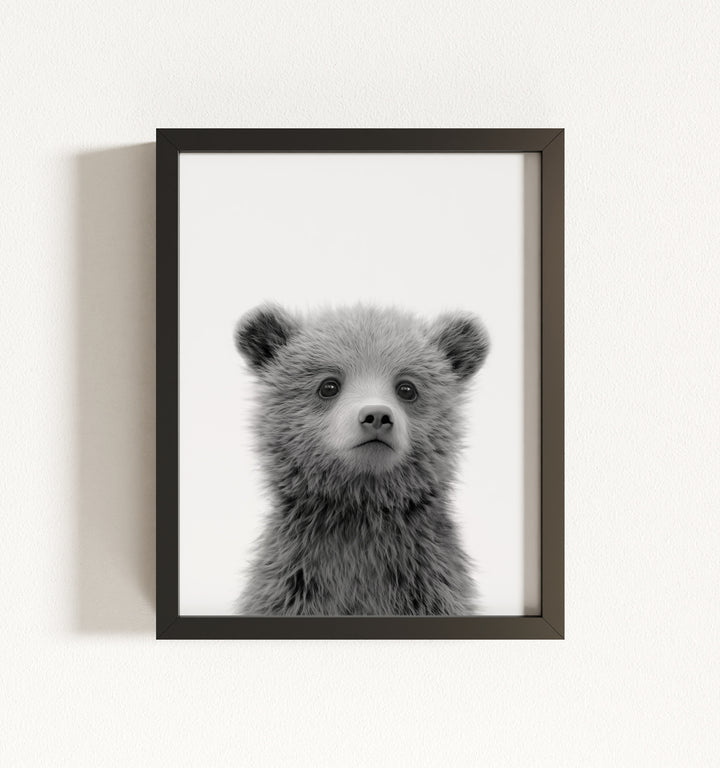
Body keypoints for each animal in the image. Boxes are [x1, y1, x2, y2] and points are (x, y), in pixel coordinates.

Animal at [234, 303, 490, 616]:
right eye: (328, 386)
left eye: (407, 388)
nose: (376, 415)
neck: (359, 510)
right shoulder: (293, 584)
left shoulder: (428, 586)